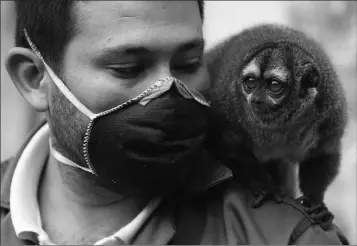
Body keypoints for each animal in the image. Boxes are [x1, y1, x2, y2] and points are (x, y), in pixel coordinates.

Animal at [204, 23, 346, 209]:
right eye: (250, 81)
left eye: (274, 85)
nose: (256, 99)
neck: (282, 122)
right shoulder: (228, 104)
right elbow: (229, 146)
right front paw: (267, 188)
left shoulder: (331, 112)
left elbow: (323, 151)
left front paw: (313, 201)